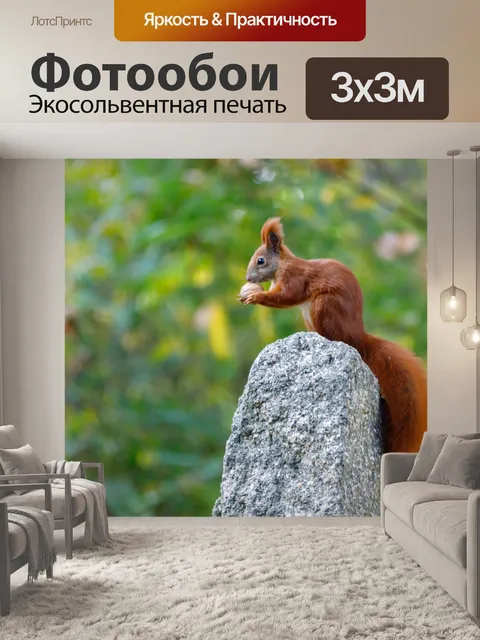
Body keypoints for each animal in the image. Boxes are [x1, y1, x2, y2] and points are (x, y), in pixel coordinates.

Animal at [238, 217, 427, 453]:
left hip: (325, 305)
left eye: (261, 261)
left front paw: (255, 296)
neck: (282, 265)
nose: (248, 278)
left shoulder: (294, 277)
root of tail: (358, 336)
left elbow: (287, 296)